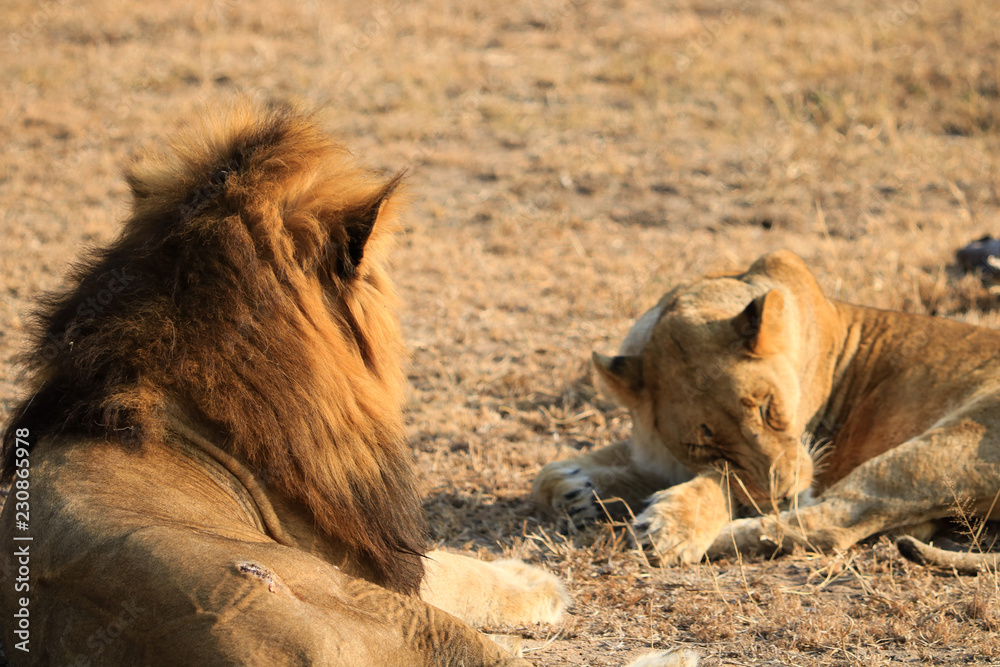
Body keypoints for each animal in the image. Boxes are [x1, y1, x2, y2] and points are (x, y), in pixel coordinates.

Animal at [534, 250, 1000, 570]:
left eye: (768, 409)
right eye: (702, 444)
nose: (785, 495)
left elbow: (724, 481)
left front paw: (672, 525)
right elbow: (552, 473)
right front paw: (578, 487)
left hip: (940, 448)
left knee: (834, 523)